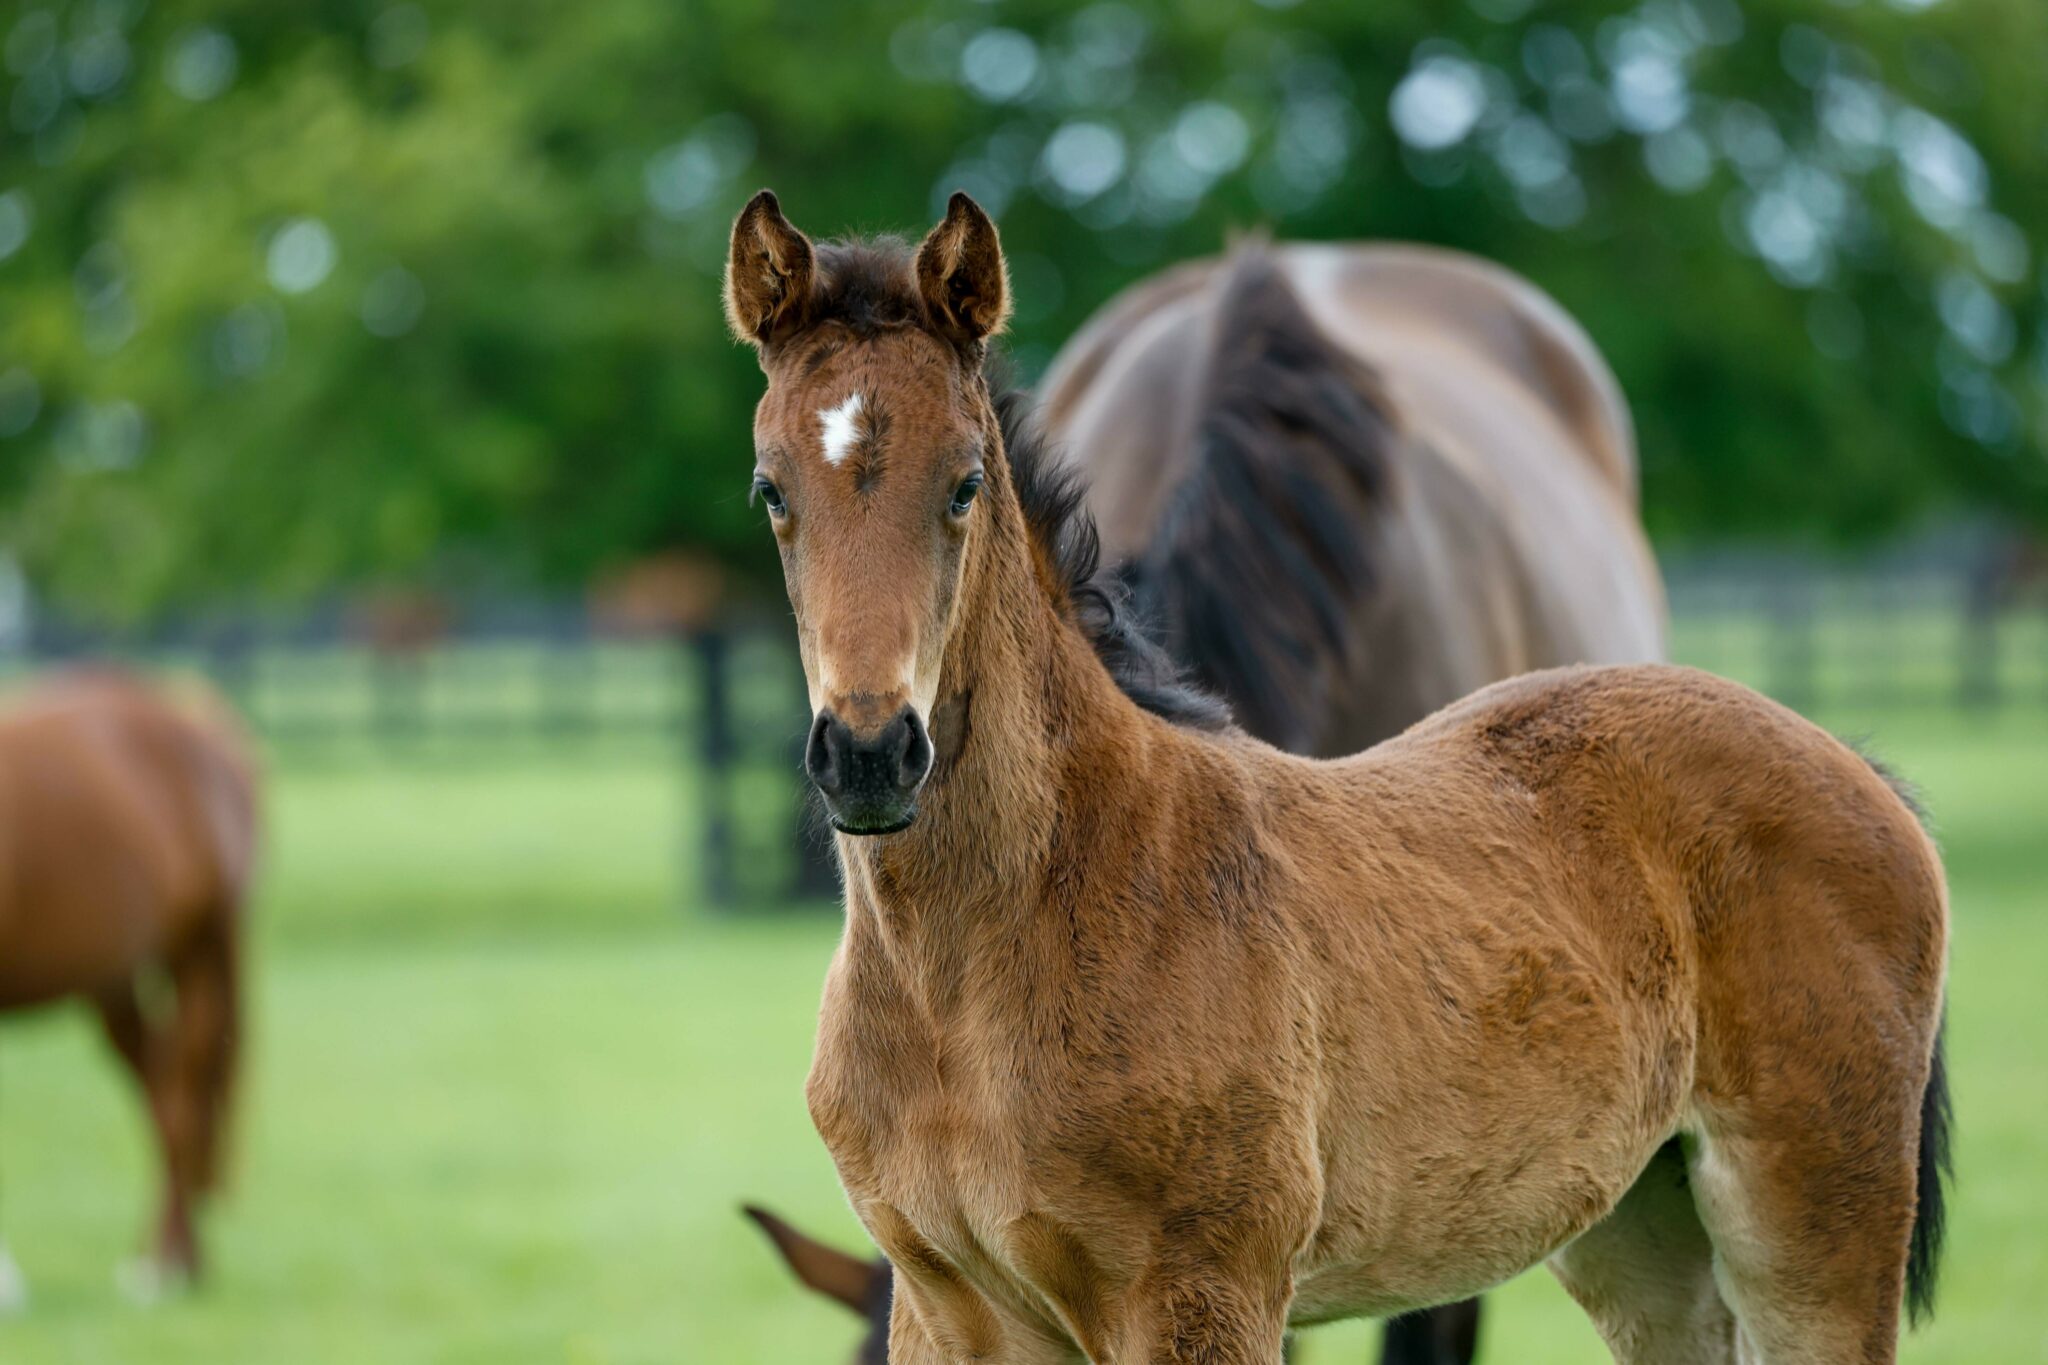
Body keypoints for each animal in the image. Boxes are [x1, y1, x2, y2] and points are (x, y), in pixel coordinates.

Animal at [0, 671, 260, 1301]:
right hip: (116, 980)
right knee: (160, 1097)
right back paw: (170, 1259)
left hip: (202, 953)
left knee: (183, 1103)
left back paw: (167, 1268)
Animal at [724, 192, 1949, 1365]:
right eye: (770, 492)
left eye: (966, 483)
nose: (869, 753)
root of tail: (1849, 761)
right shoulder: (948, 1306)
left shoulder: (1203, 1290)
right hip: (1639, 1227)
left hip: (1809, 1214)